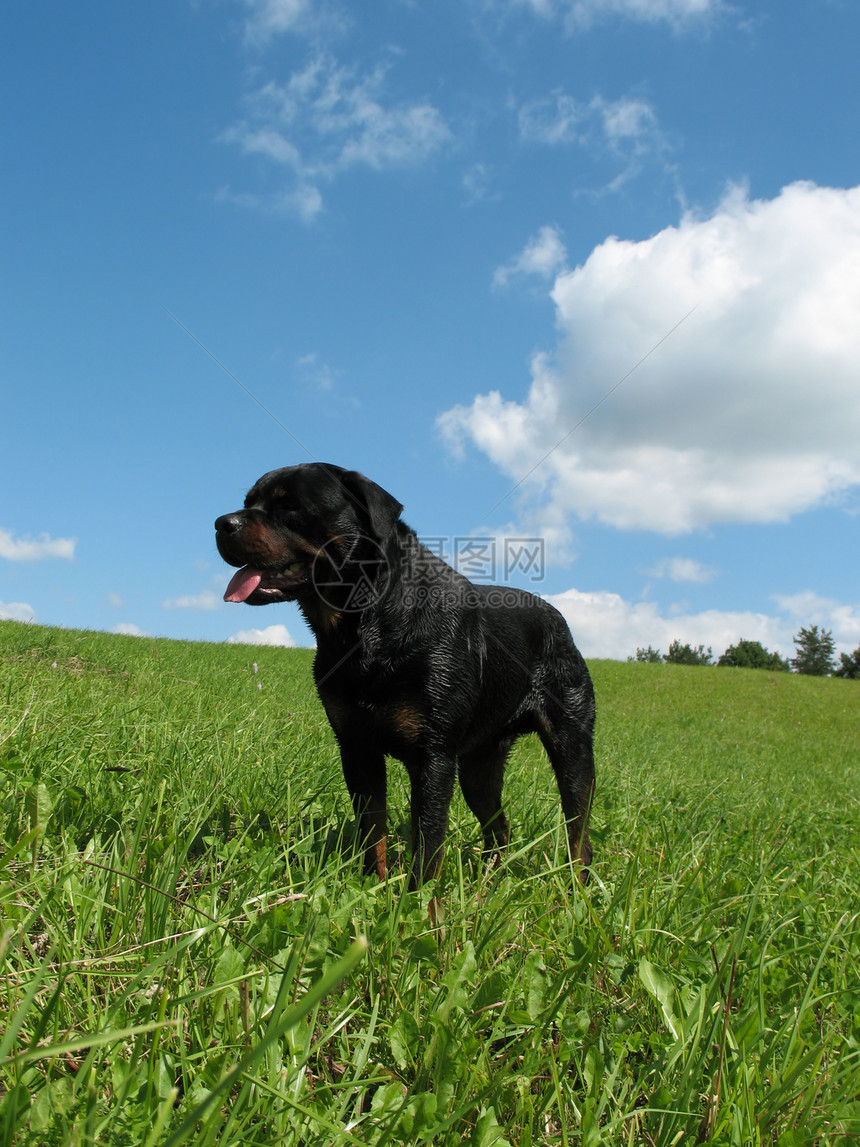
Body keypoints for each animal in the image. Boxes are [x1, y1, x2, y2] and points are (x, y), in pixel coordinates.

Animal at [215, 465, 596, 885]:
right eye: (249, 502)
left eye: (289, 506)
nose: (221, 523)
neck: (363, 627)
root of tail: (560, 620)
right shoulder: (356, 748)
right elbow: (372, 830)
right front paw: (372, 883)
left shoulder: (433, 757)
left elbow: (427, 843)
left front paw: (417, 898)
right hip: (478, 765)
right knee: (498, 827)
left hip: (571, 743)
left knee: (578, 829)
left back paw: (575, 886)